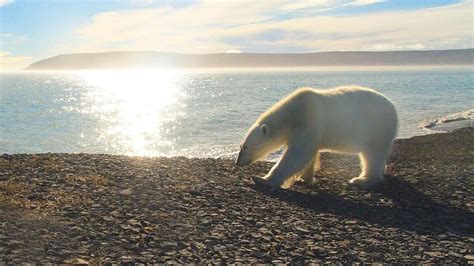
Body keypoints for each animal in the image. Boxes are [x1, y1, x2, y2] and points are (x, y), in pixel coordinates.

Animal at [236, 85, 396, 189]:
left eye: (246, 147)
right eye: (240, 146)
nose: (238, 162)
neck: (293, 112)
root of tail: (393, 107)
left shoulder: (308, 119)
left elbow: (297, 154)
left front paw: (262, 179)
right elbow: (309, 154)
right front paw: (304, 178)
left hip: (377, 127)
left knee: (372, 155)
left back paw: (362, 179)